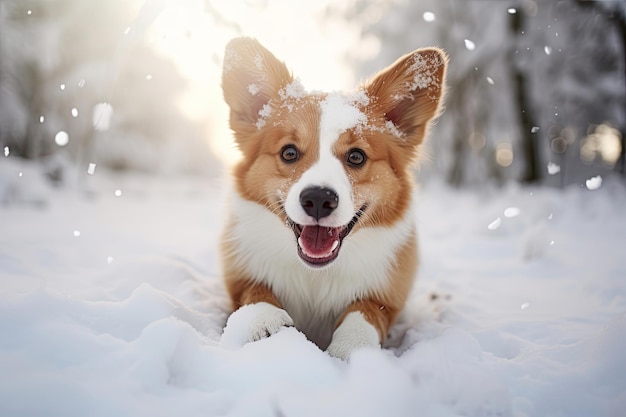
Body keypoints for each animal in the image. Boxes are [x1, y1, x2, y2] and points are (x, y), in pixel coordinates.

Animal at [219, 37, 444, 360]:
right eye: (289, 152)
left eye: (356, 156)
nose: (317, 198)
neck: (317, 277)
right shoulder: (240, 277)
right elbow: (256, 293)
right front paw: (267, 322)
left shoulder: (385, 298)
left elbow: (364, 312)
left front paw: (350, 346)